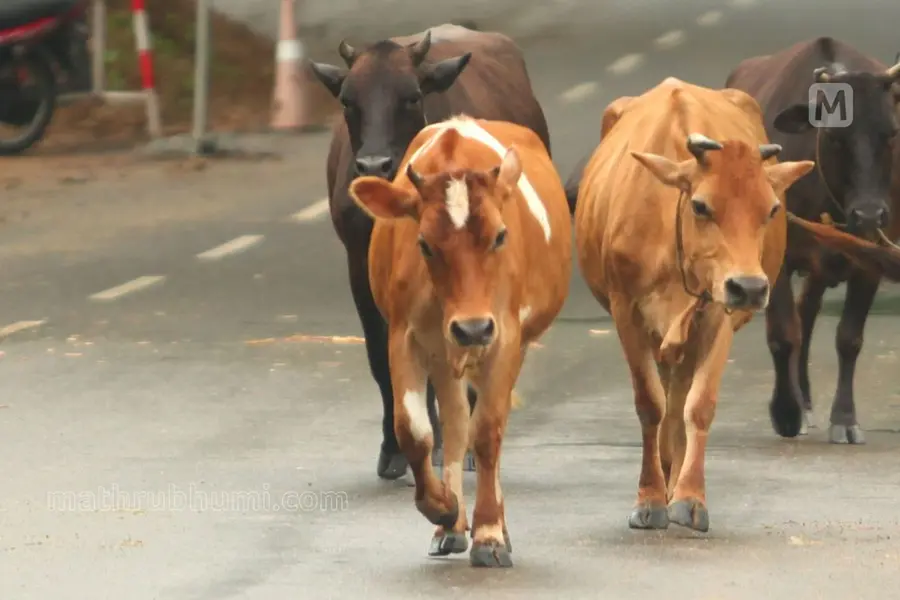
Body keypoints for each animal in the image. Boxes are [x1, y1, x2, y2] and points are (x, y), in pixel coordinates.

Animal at [307, 24, 553, 480]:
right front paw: (394, 449)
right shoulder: (360, 268)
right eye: (347, 100)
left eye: (412, 95)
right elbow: (382, 357)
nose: (374, 165)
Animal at [347, 115, 572, 566]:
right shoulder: (406, 337)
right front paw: (443, 508)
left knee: (486, 424)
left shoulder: (504, 337)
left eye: (500, 236)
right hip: (445, 350)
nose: (471, 328)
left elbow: (487, 431)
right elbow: (414, 430)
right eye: (424, 244)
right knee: (453, 419)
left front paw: (489, 532)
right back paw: (450, 527)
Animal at [574, 77, 815, 532]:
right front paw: (650, 499)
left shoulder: (718, 313)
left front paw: (689, 498)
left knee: (680, 393)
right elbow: (649, 404)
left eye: (772, 208)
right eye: (701, 205)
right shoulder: (626, 312)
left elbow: (698, 406)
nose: (750, 287)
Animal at [725, 37, 900, 445]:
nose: (869, 214)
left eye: (890, 133)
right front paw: (786, 412)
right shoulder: (776, 258)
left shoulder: (871, 260)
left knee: (808, 310)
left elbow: (848, 338)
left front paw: (845, 419)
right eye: (835, 136)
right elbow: (782, 334)